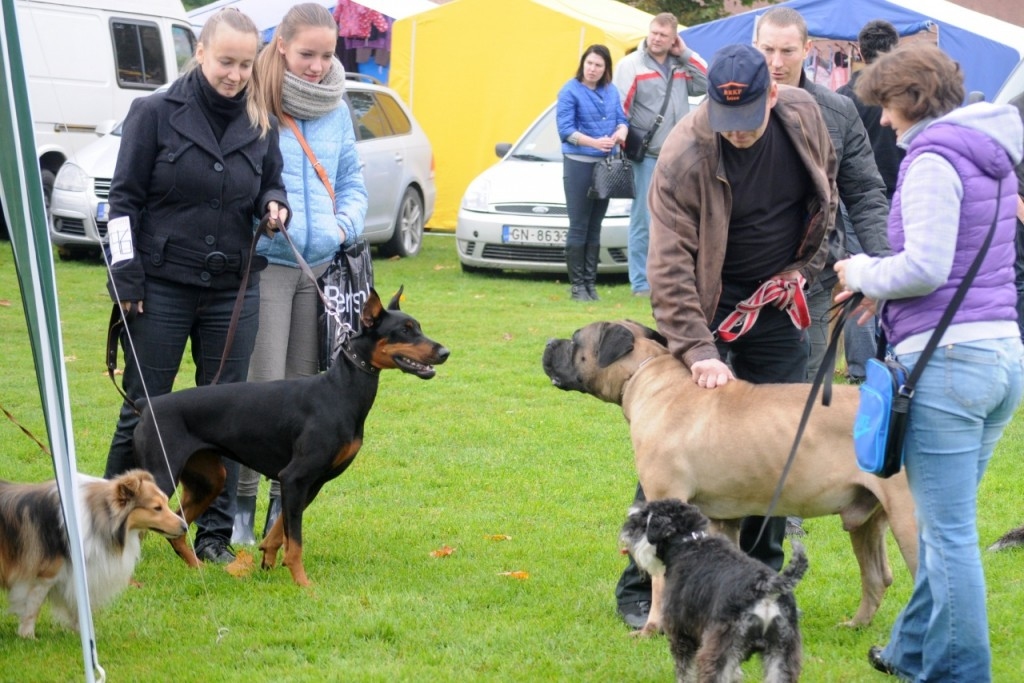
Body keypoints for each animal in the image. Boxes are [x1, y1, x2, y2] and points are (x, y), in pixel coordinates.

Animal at [0, 466, 186, 638]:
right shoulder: (44, 576)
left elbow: (78, 604)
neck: (99, 519)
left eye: (165, 503)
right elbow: (32, 607)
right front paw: (27, 636)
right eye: (157, 507)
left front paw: (84, 634)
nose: (184, 527)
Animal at [131, 286, 448, 585]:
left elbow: (280, 528)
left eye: (418, 327)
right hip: (162, 474)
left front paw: (268, 558)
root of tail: (146, 404)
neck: (340, 390)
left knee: (176, 529)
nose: (445, 352)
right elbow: (295, 541)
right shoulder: (295, 476)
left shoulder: (311, 481)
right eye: (404, 331)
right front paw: (303, 583)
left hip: (208, 479)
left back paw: (200, 570)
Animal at [544, 321, 921, 634]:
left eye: (576, 340)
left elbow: (660, 579)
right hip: (866, 520)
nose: (548, 342)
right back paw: (856, 626)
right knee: (877, 577)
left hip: (908, 519)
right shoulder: (721, 519)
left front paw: (653, 629)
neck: (648, 377)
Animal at [622, 497, 806, 683]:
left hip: (718, 648)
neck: (688, 543)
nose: (624, 534)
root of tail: (765, 589)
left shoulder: (681, 634)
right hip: (782, 653)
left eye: (641, 519)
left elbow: (685, 671)